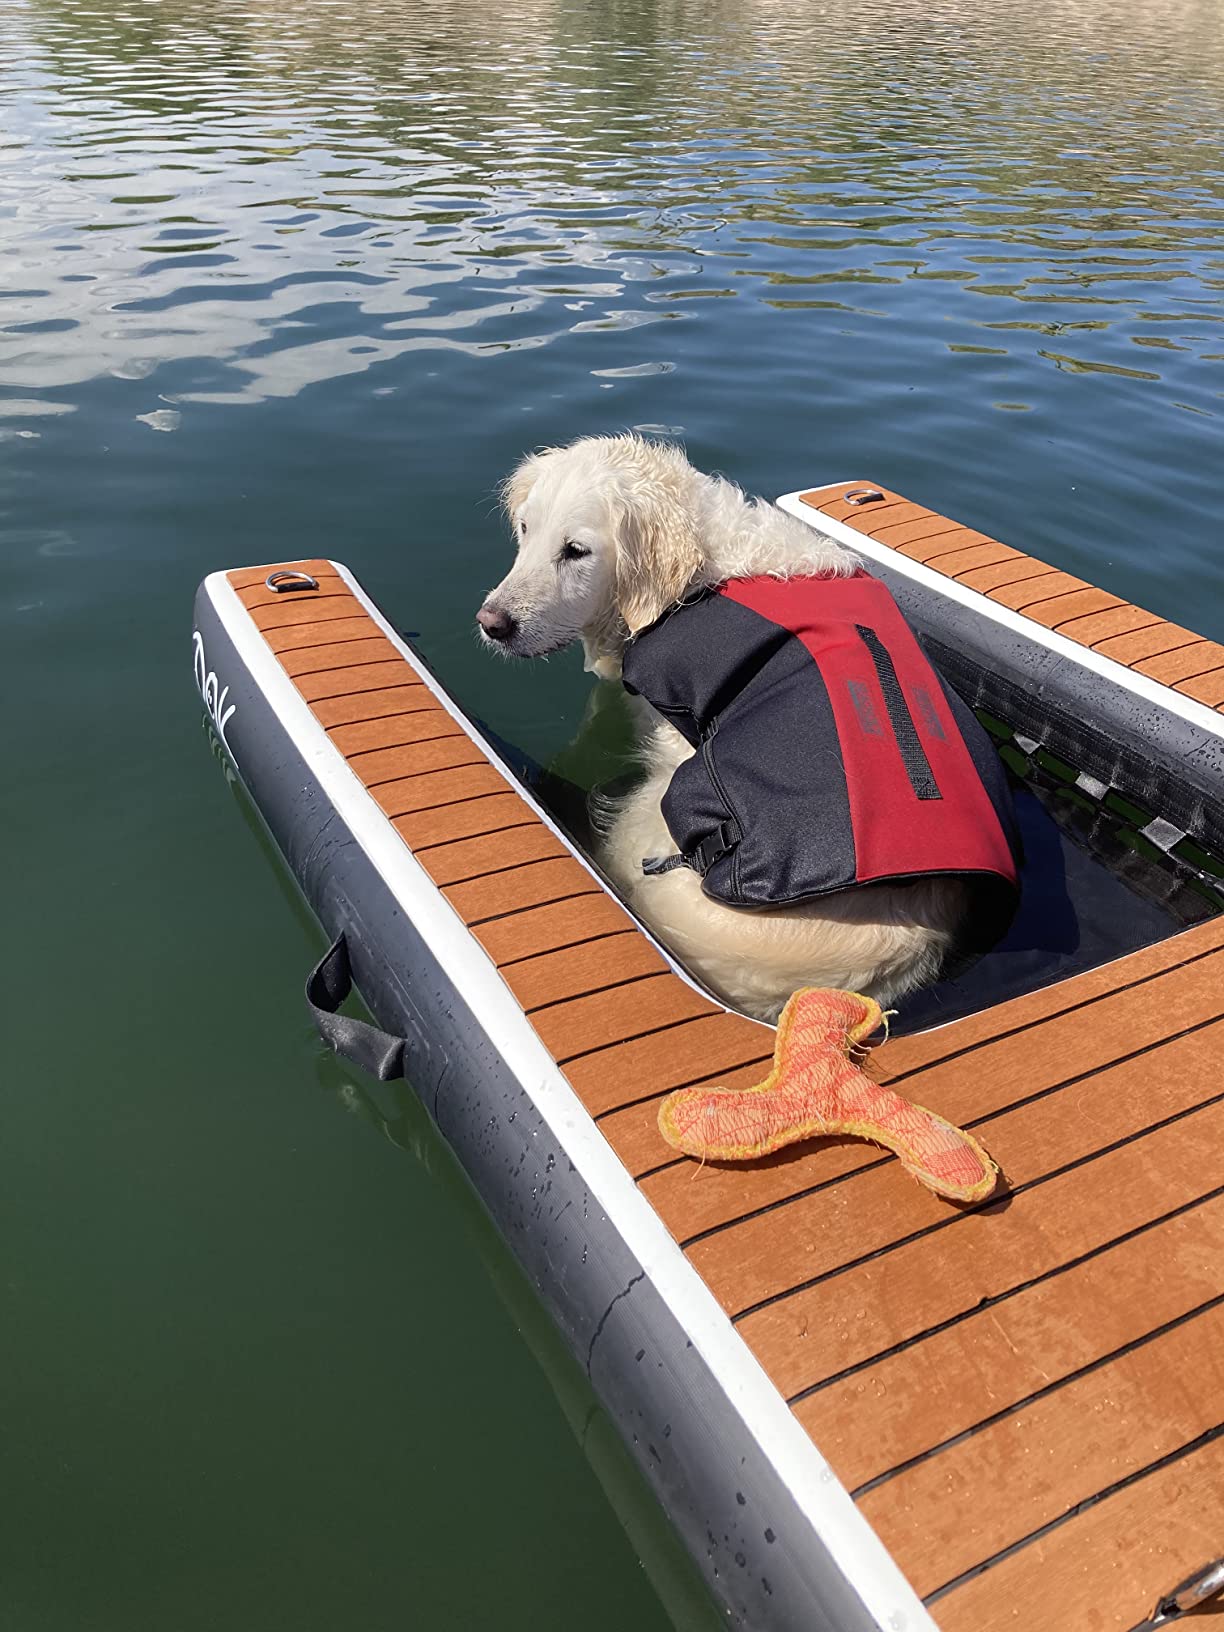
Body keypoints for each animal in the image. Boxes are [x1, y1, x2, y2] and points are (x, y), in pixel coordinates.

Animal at [473, 434, 972, 1018]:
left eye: (576, 551)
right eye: (525, 528)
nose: (492, 624)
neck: (692, 583)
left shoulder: (670, 739)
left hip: (647, 824)